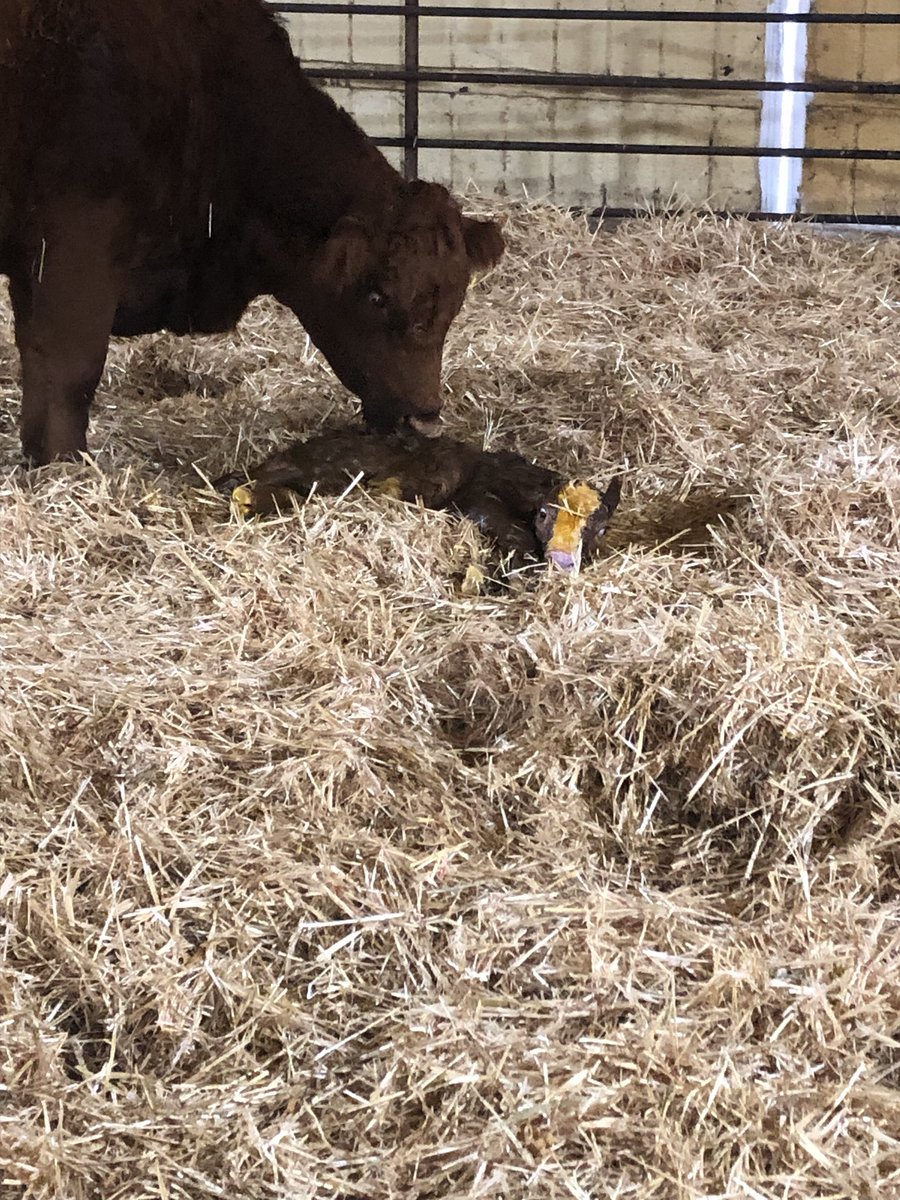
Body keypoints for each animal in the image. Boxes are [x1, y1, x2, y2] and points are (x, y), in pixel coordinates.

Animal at [0, 0, 504, 464]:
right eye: (376, 296)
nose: (423, 416)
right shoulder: (73, 247)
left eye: (453, 307)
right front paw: (63, 466)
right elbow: (70, 371)